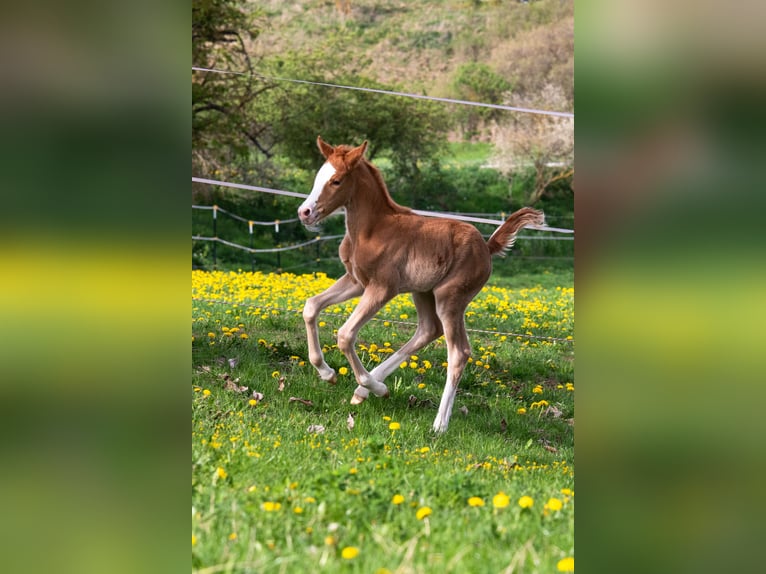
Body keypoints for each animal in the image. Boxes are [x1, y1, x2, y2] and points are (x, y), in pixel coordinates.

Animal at [300, 136, 544, 432]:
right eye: (318, 177)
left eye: (336, 181)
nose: (304, 212)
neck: (371, 229)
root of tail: (487, 247)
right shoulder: (356, 281)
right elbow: (311, 307)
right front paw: (328, 374)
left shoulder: (382, 288)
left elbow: (345, 335)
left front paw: (375, 387)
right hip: (423, 292)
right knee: (428, 330)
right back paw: (364, 391)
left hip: (450, 298)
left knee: (459, 352)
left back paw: (439, 423)